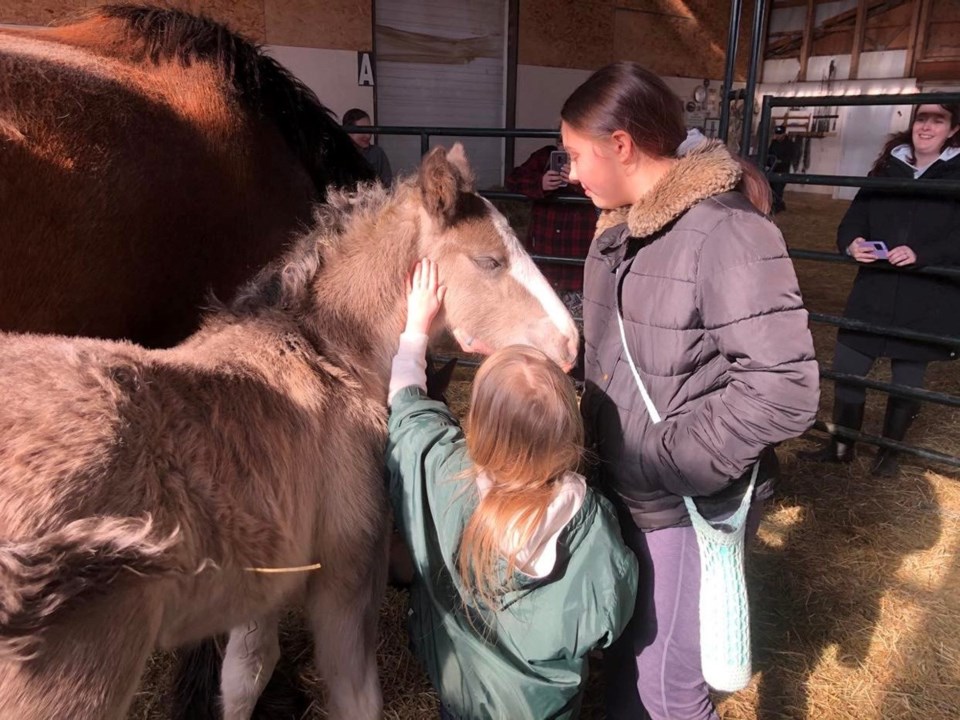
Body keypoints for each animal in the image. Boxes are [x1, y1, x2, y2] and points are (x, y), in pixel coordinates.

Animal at [0, 146, 576, 720]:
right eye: (490, 261)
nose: (570, 342)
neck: (329, 354)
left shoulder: (263, 576)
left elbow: (244, 675)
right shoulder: (347, 569)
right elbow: (353, 693)